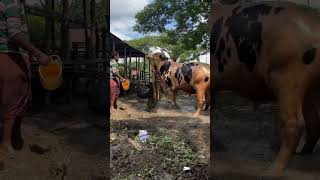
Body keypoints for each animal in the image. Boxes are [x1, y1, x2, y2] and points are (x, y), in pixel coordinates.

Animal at [210, 0, 320, 177]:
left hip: (288, 77)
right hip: (308, 88)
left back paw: (271, 172)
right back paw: (303, 153)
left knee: (295, 123)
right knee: (314, 121)